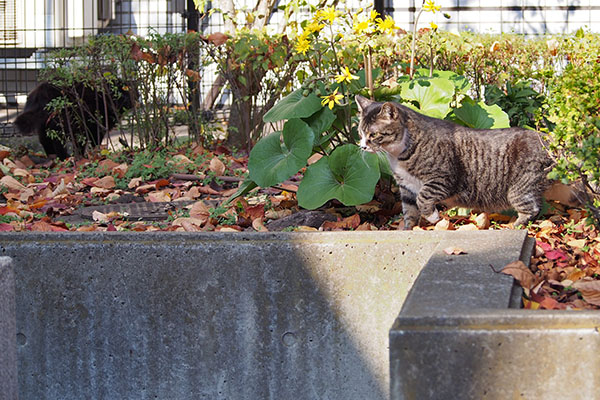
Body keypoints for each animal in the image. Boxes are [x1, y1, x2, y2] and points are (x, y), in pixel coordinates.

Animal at [354, 95, 576, 230]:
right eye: (360, 132)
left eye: (373, 135)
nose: (363, 146)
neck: (396, 156)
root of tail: (551, 142)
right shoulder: (406, 186)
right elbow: (409, 210)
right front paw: (409, 229)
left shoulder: (443, 178)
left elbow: (424, 198)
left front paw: (434, 218)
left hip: (520, 188)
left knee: (532, 208)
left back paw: (512, 226)